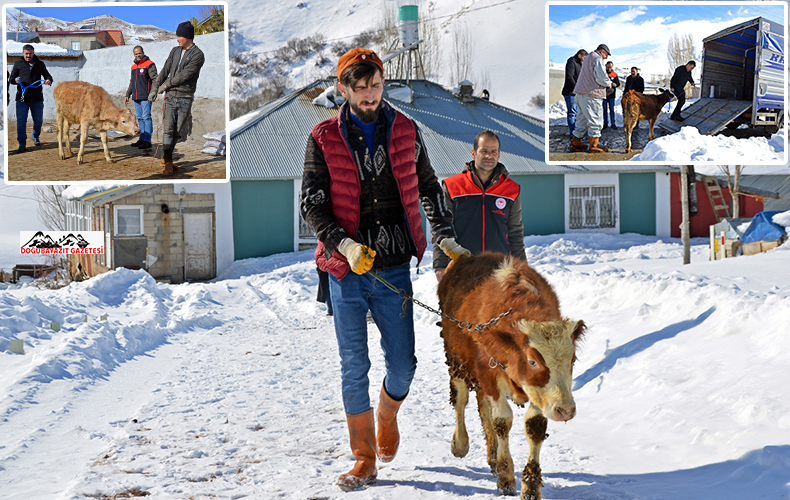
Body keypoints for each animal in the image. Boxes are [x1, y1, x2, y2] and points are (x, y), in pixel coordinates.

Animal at [436, 254, 584, 500]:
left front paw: (530, 486)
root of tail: (467, 257)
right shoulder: (489, 374)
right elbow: (502, 421)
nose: (566, 410)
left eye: (572, 359)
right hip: (457, 362)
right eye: (533, 361)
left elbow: (534, 426)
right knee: (460, 400)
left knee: (483, 409)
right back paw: (461, 444)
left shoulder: (538, 392)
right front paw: (505, 477)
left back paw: (492, 454)